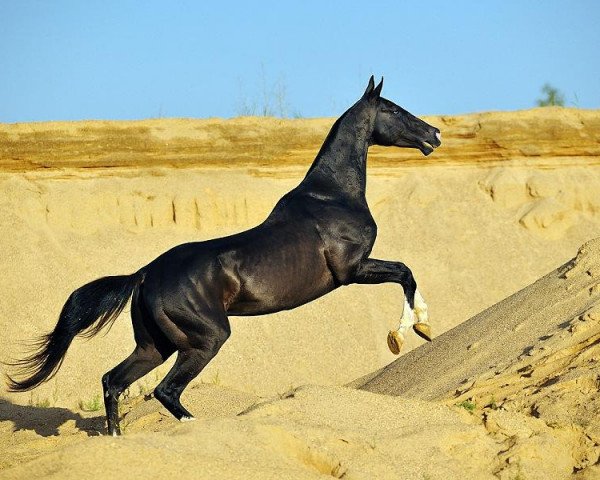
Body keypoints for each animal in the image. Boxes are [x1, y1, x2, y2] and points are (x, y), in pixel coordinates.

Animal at [7, 76, 440, 436]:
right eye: (393, 109)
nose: (434, 134)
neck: (331, 196)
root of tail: (146, 274)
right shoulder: (353, 270)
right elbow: (406, 272)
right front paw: (409, 332)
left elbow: (407, 273)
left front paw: (419, 328)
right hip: (207, 339)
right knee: (165, 390)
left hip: (155, 346)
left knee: (114, 381)